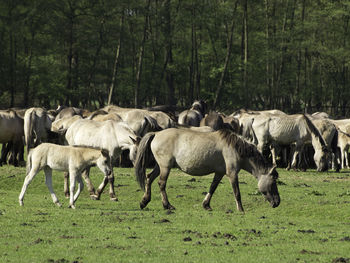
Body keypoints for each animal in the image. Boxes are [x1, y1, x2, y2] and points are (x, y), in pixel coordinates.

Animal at [135, 128, 280, 212]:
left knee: (149, 178)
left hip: (160, 166)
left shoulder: (219, 173)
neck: (236, 148)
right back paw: (167, 205)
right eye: (273, 182)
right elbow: (237, 192)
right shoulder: (232, 173)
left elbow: (212, 187)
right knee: (161, 184)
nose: (277, 202)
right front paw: (240, 209)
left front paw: (206, 205)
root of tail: (156, 133)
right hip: (165, 167)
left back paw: (144, 201)